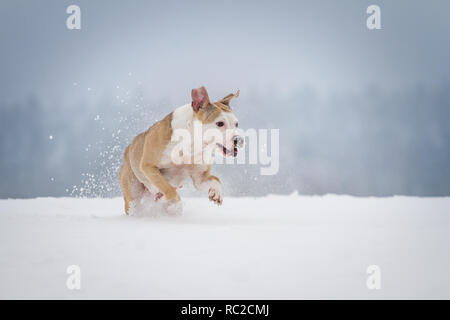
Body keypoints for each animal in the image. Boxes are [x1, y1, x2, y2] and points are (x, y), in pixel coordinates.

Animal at [118, 86, 241, 214]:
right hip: (133, 193)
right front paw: (164, 197)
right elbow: (170, 191)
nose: (238, 139)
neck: (192, 143)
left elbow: (215, 180)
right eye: (220, 123)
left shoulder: (199, 177)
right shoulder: (148, 166)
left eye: (236, 124)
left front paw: (216, 193)